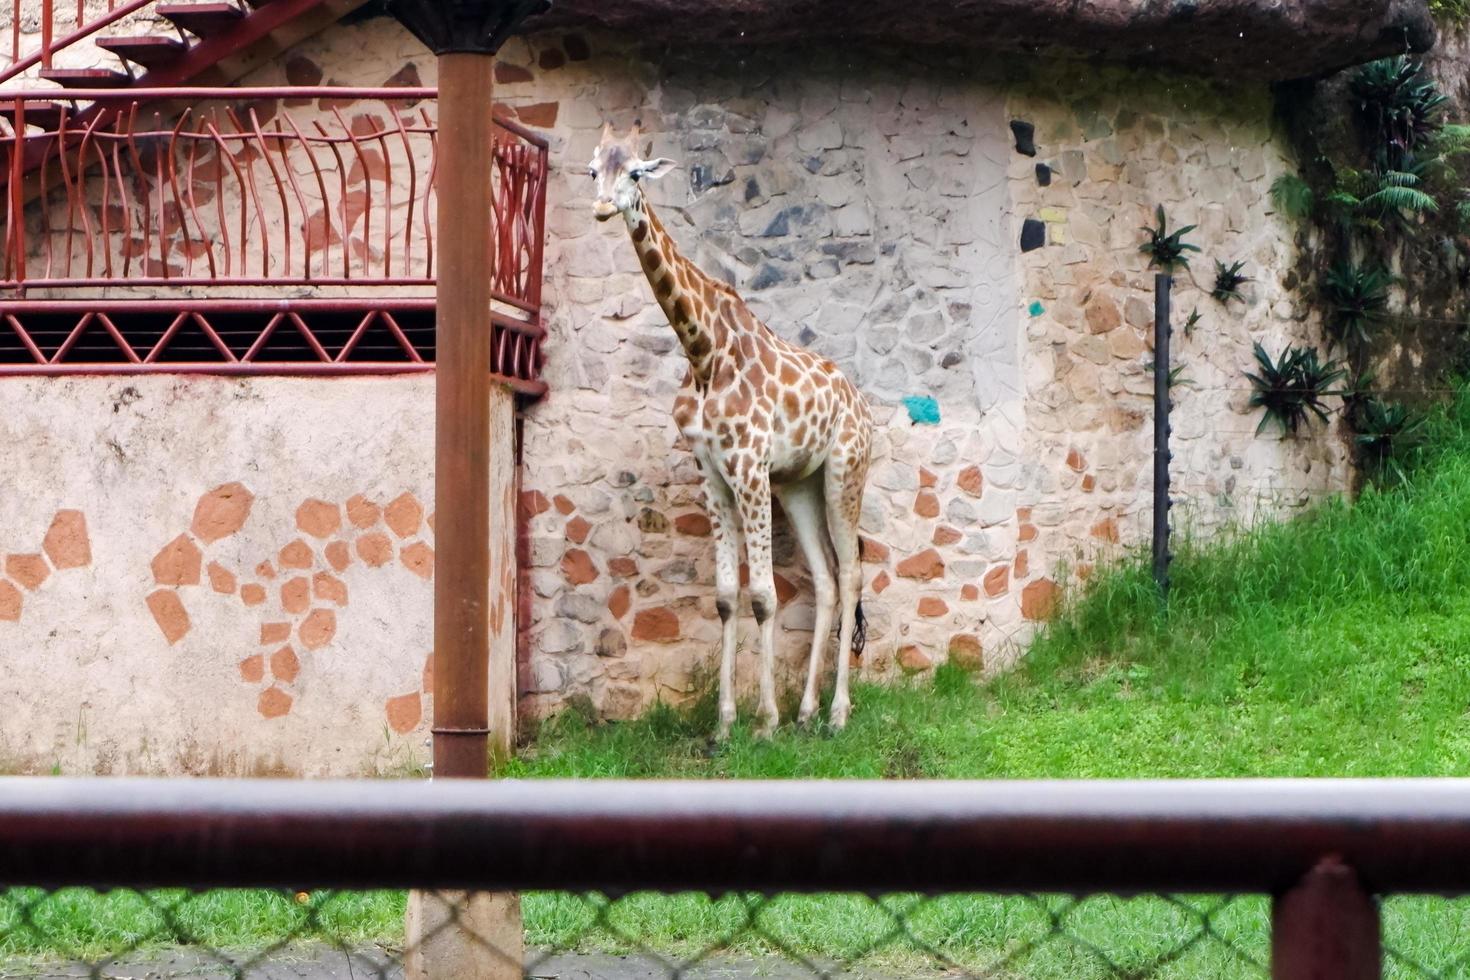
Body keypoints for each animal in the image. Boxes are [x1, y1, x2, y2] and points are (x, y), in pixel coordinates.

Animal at [588, 120, 870, 734]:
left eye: (637, 172)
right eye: (594, 169)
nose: (601, 207)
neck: (702, 352)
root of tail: (862, 406)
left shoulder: (748, 466)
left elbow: (763, 595)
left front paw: (763, 721)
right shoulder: (712, 472)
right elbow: (724, 596)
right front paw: (724, 723)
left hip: (845, 473)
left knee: (853, 574)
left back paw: (837, 714)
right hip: (797, 485)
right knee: (827, 581)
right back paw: (807, 712)